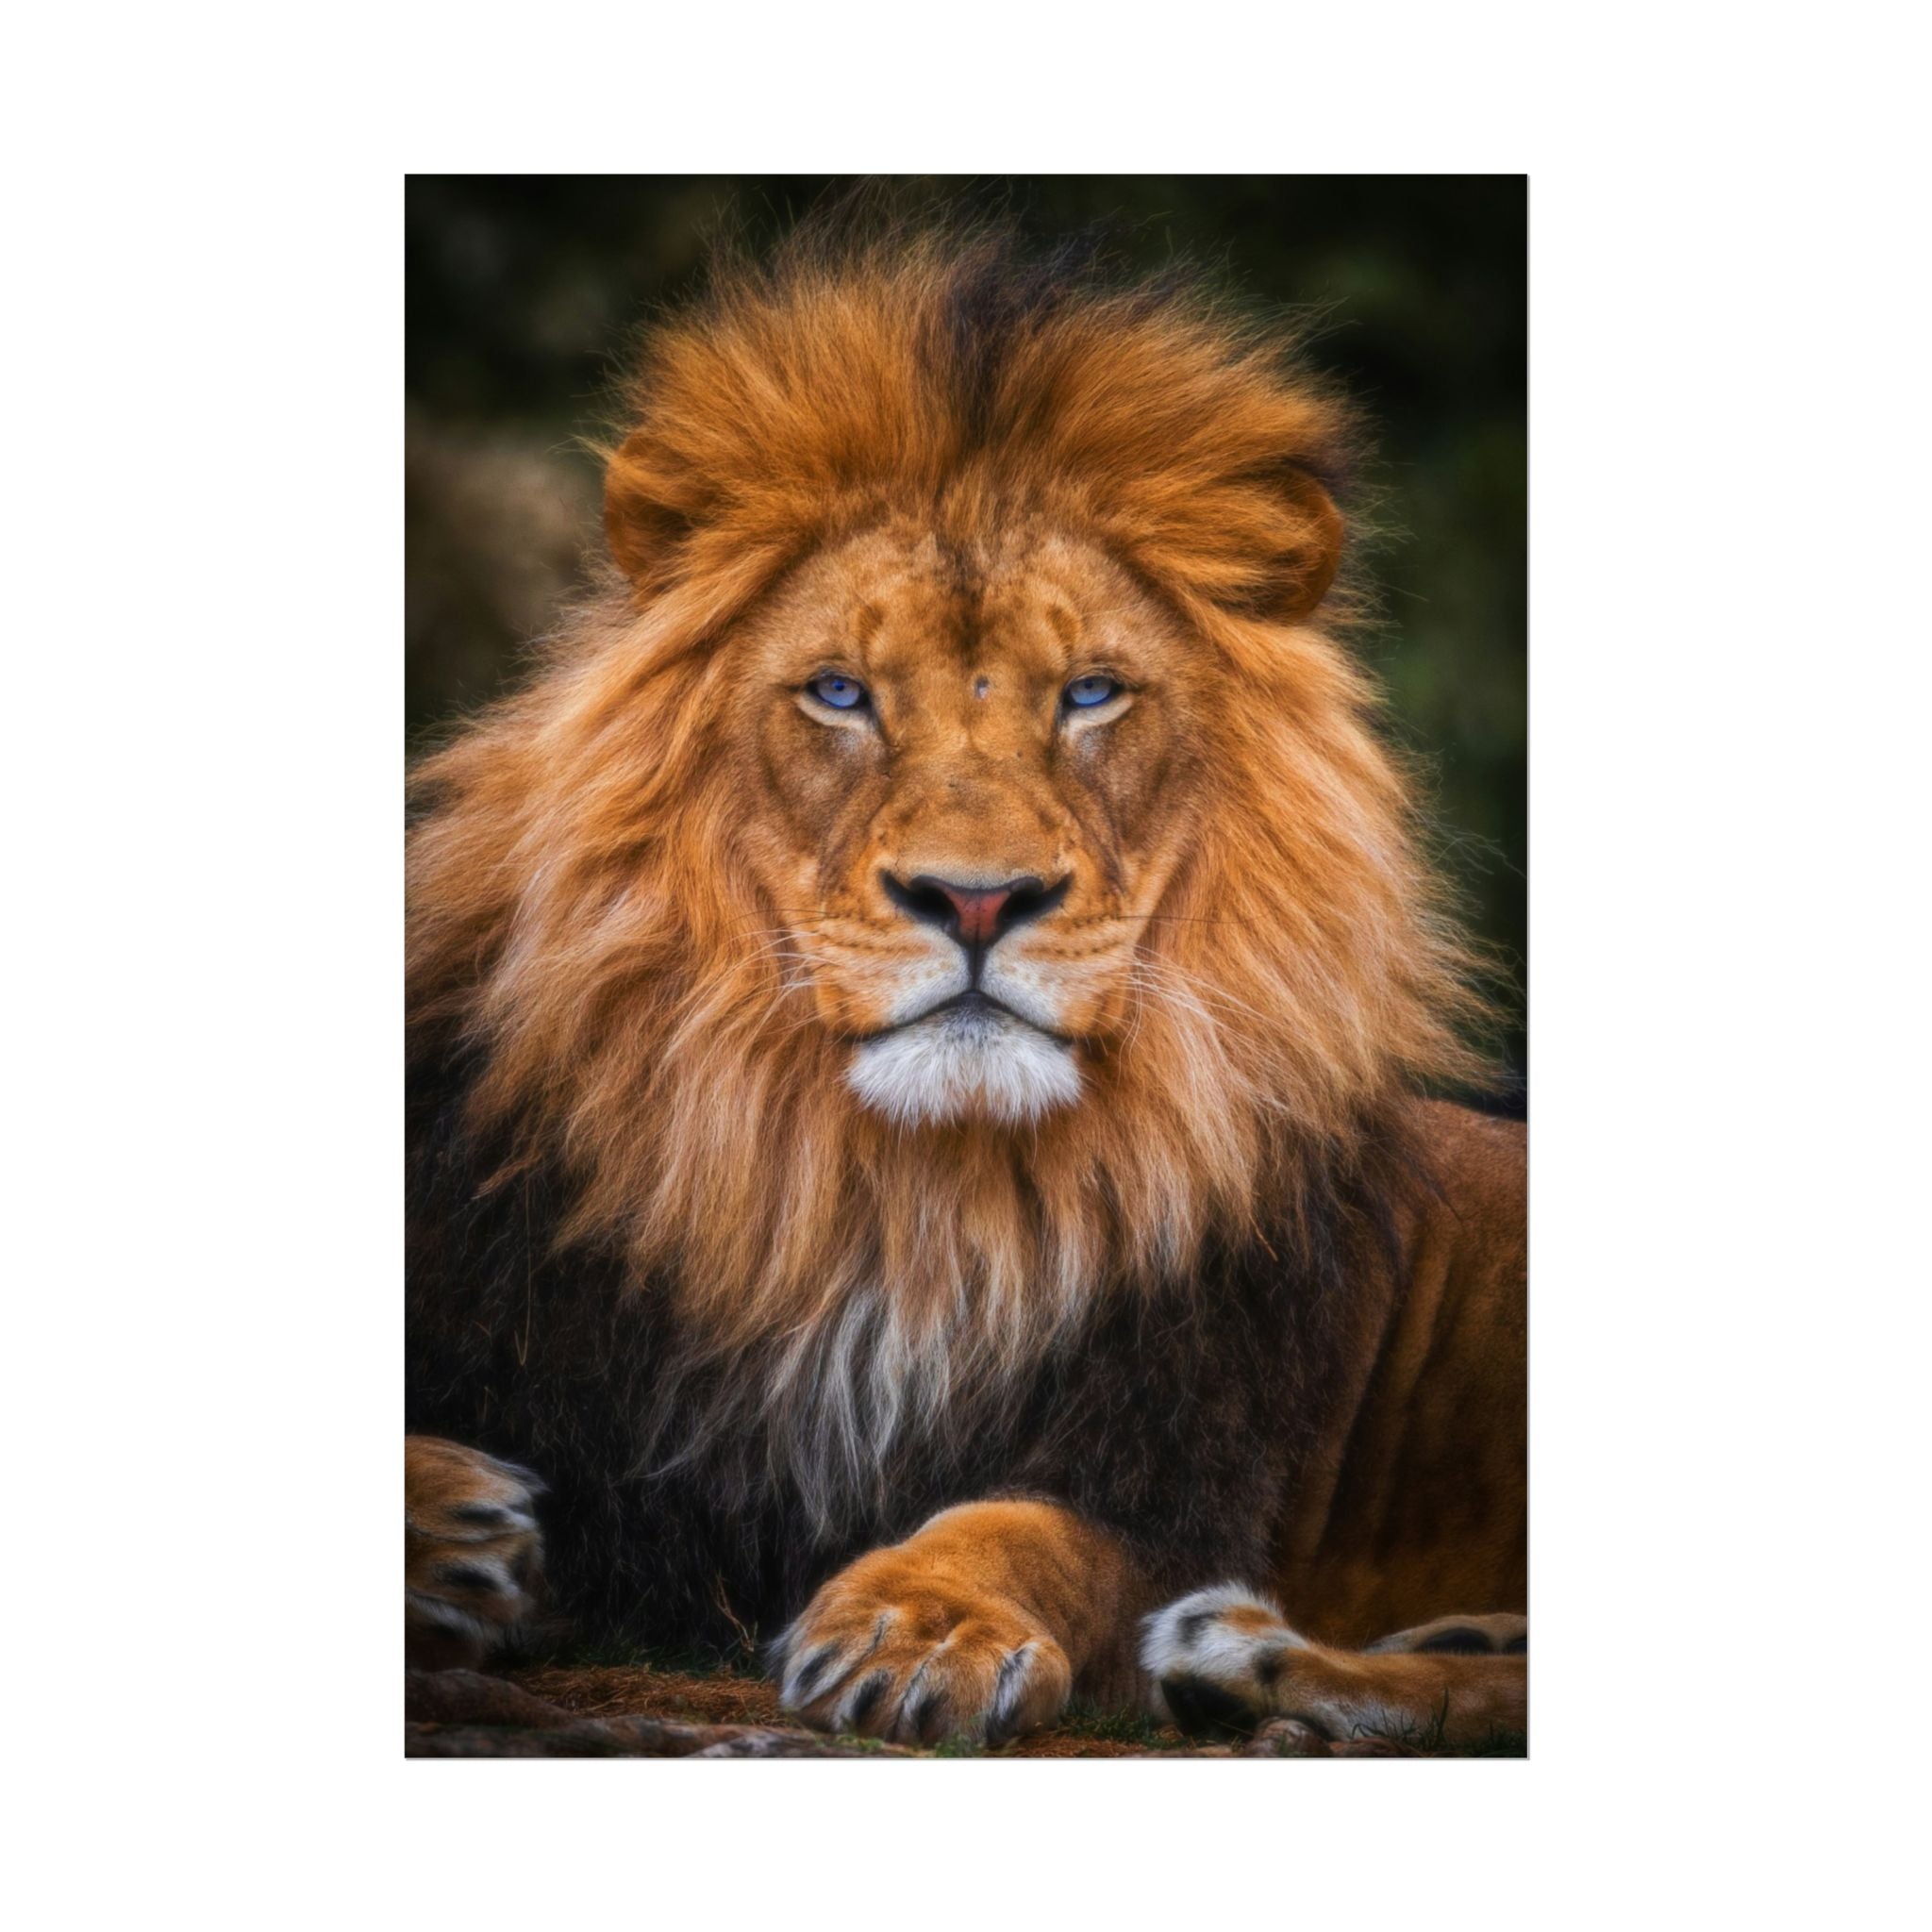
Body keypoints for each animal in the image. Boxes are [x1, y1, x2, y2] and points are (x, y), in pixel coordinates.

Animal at [404, 218, 1527, 1752]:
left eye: (1091, 694)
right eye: (838, 692)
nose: (978, 898)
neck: (897, 1202)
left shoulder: (1176, 1470)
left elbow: (1027, 1530)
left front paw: (919, 1625)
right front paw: (450, 1525)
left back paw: (1251, 1657)